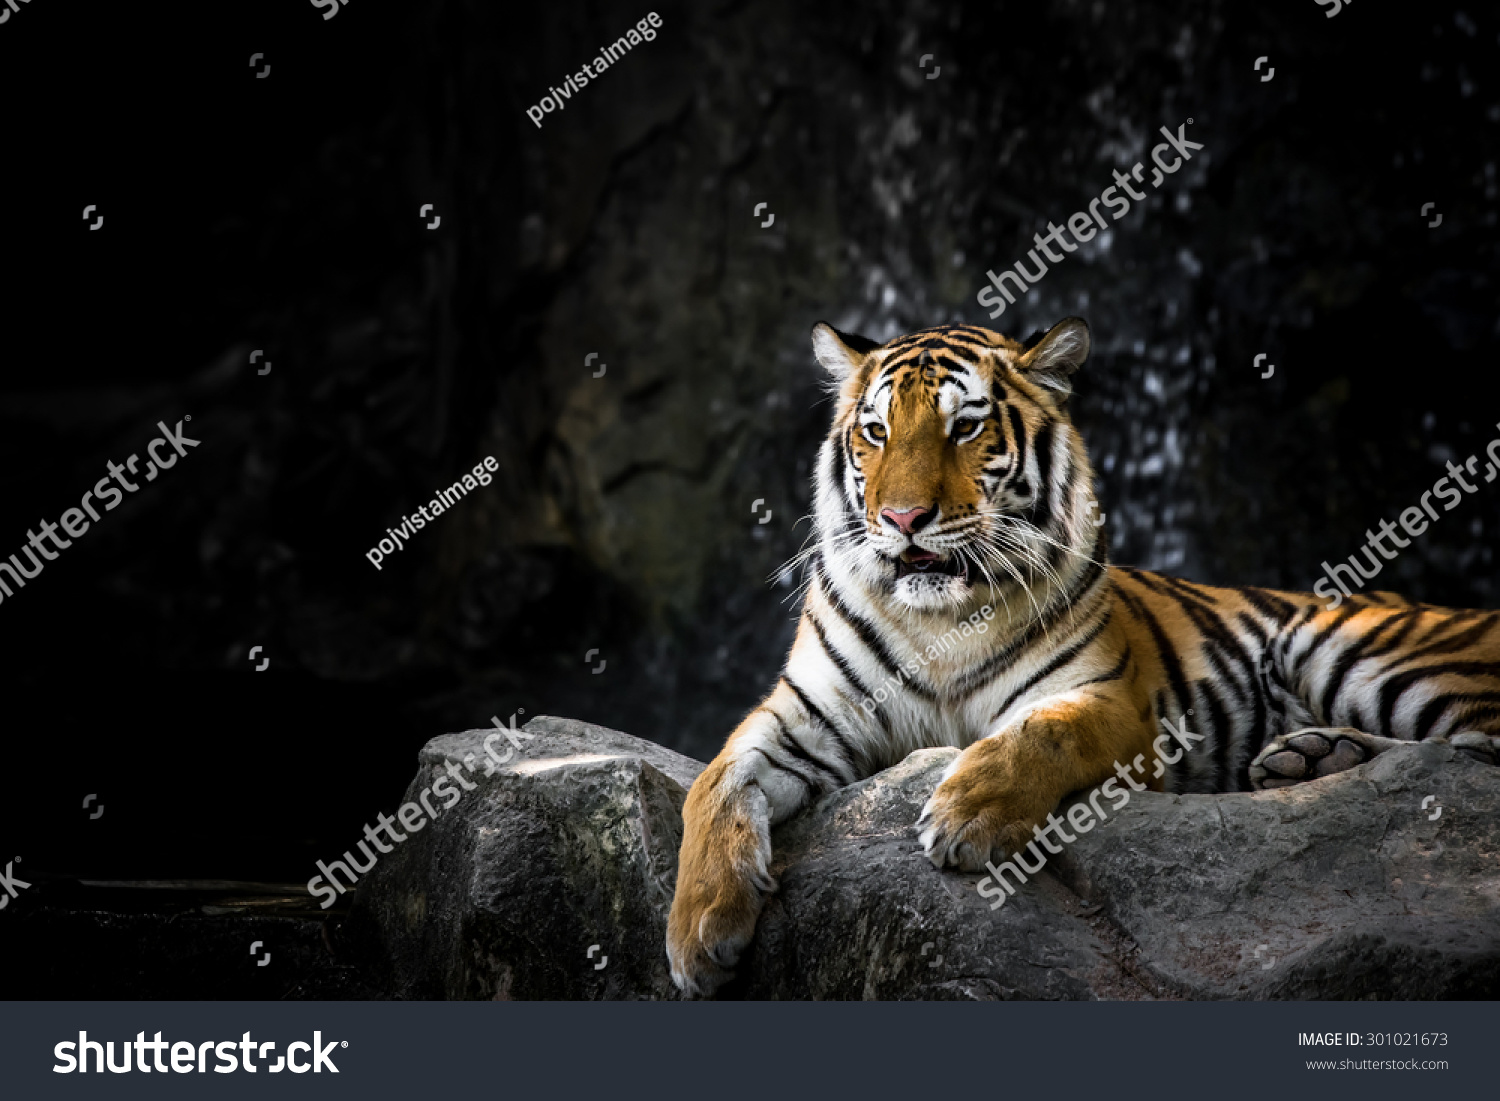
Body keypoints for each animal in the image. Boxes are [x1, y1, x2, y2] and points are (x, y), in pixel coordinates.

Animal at [669, 319, 1500, 1002]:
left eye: (964, 426)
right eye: (874, 431)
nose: (902, 518)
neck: (939, 619)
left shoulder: (1110, 701)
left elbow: (1039, 734)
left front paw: (964, 815)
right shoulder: (806, 713)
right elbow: (714, 784)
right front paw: (698, 931)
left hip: (1351, 646)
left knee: (1472, 753)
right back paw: (1310, 757)